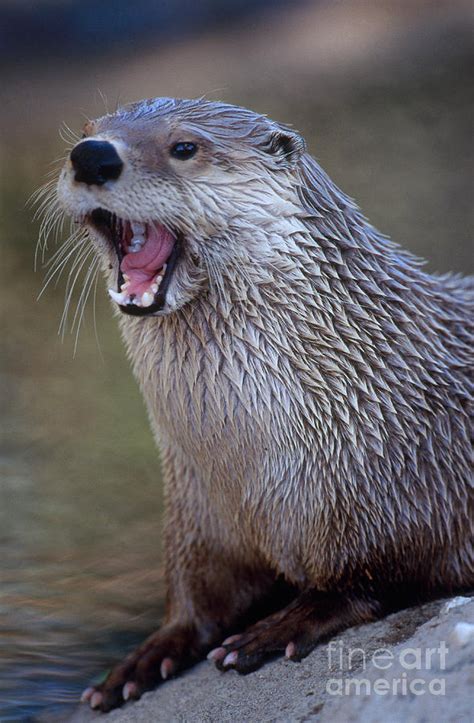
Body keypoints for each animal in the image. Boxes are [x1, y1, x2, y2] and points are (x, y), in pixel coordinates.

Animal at [52, 97, 474, 712]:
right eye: (84, 133)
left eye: (184, 147)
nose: (91, 156)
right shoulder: (194, 513)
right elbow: (196, 601)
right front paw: (143, 659)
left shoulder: (406, 496)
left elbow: (370, 579)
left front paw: (278, 628)